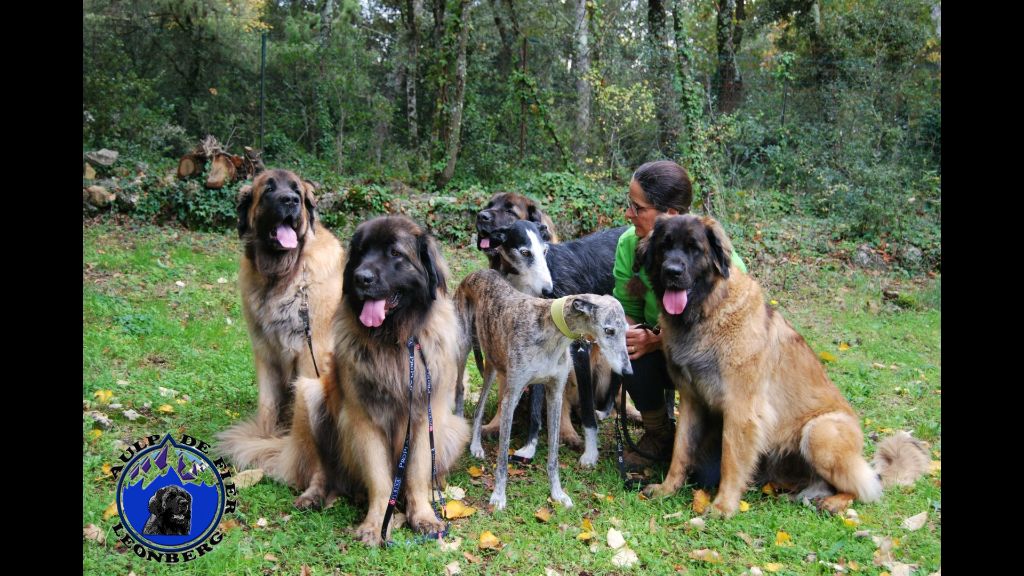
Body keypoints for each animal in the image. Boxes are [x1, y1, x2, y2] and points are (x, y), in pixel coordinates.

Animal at [216, 167, 344, 506]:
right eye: (269, 189)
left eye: (296, 190)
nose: (290, 201)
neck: (285, 275)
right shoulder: (265, 353)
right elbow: (267, 406)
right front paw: (264, 437)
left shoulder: (311, 356)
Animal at [638, 214, 929, 516]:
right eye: (665, 245)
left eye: (694, 248)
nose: (672, 271)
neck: (706, 313)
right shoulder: (691, 400)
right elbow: (680, 450)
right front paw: (667, 489)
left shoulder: (741, 408)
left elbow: (731, 459)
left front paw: (723, 506)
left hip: (819, 432)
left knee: (867, 487)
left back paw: (833, 502)